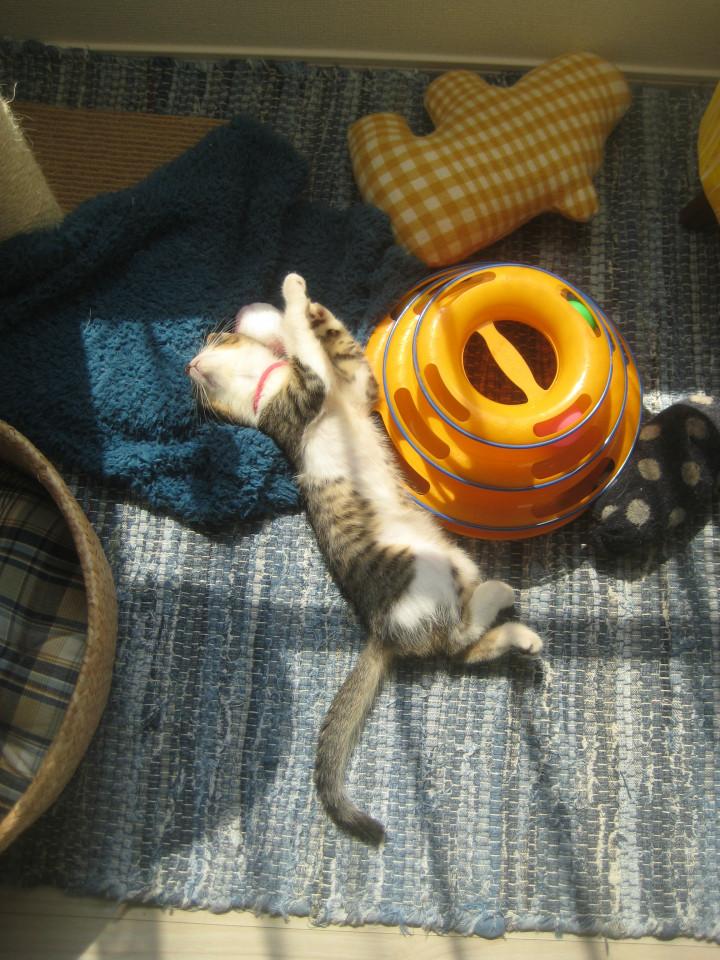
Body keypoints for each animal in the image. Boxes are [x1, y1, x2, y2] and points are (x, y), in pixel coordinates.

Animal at [187, 273, 543, 843]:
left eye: (216, 341)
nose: (187, 364)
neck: (267, 384)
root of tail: (382, 628)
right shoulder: (304, 399)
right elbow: (309, 355)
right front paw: (293, 299)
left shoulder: (355, 386)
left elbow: (336, 349)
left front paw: (302, 311)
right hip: (422, 570)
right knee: (456, 640)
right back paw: (501, 597)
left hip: (453, 563)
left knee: (461, 649)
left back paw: (518, 634)